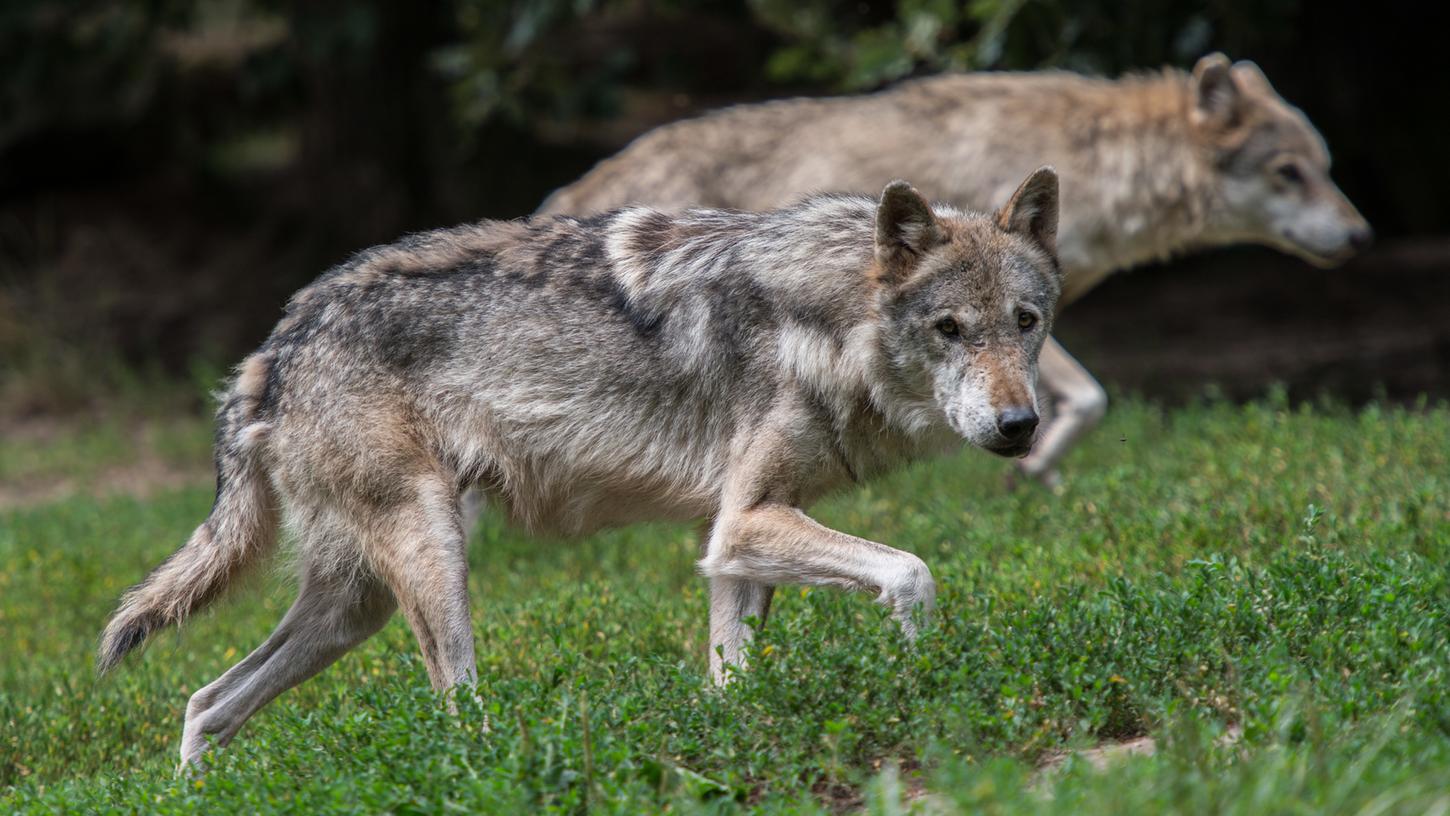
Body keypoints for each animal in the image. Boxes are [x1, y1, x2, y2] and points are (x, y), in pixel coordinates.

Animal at [96, 169, 1061, 771]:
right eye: (950, 330)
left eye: (1027, 322)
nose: (1020, 426)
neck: (822, 317)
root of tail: (272, 347)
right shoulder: (741, 523)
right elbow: (913, 572)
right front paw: (921, 681)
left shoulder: (734, 544)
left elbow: (733, 676)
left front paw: (736, 739)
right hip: (432, 562)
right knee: (454, 710)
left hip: (354, 607)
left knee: (204, 704)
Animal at [536, 54, 1368, 489]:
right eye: (1289, 173)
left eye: (1325, 168)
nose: (1362, 235)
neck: (1099, 159)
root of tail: (575, 190)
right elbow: (1090, 398)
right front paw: (1031, 469)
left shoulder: (1033, 315)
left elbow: (1059, 401)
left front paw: (1035, 475)